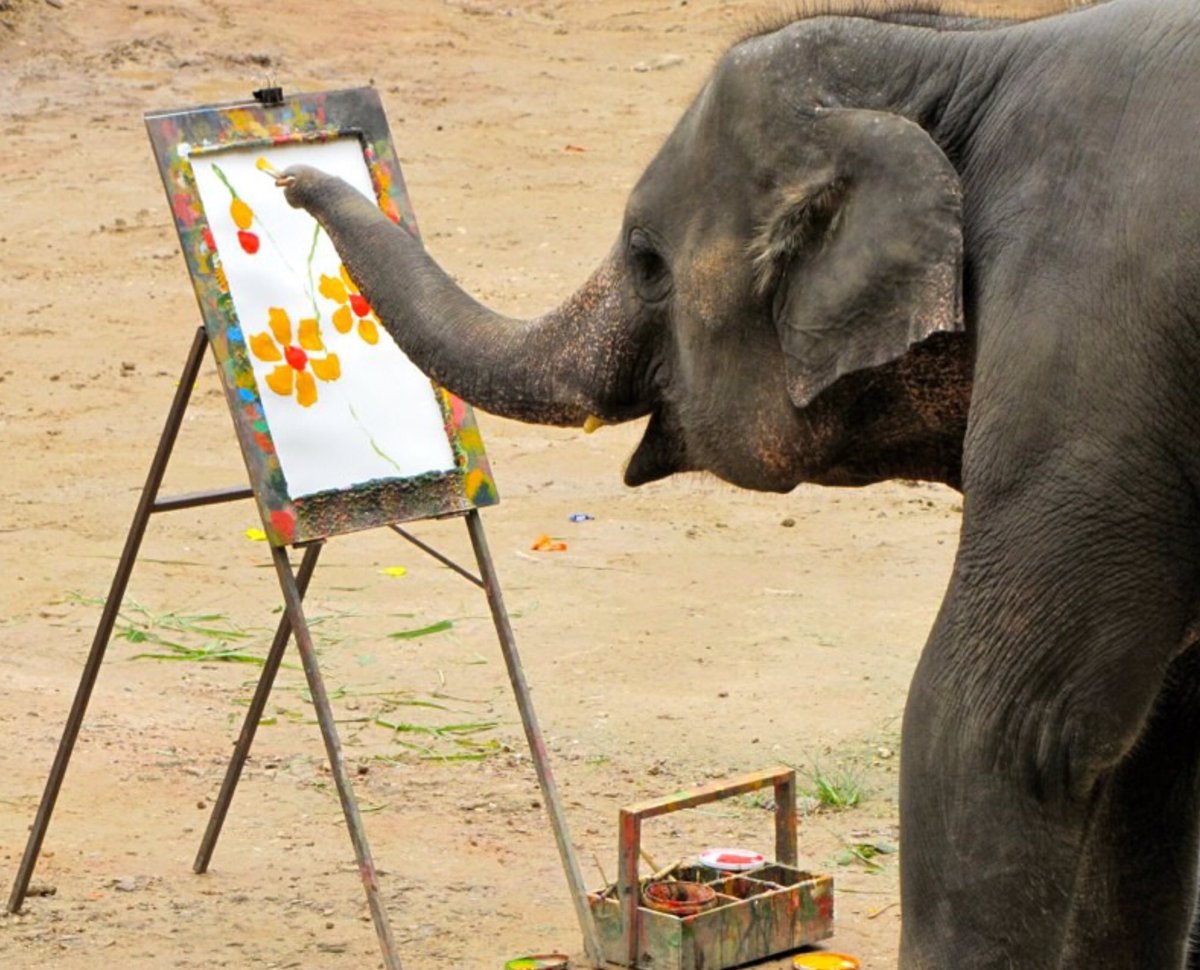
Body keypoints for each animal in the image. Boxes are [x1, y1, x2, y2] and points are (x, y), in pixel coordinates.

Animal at [278, 0, 1200, 966]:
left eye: (647, 259)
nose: (288, 176)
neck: (967, 54)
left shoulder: (1088, 359)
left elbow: (1004, 727)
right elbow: (1151, 744)